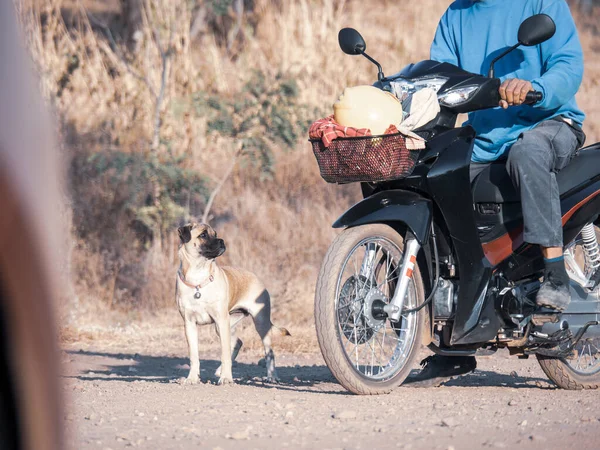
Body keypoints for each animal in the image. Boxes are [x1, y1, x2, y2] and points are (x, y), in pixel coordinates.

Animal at [175, 223, 290, 384]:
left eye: (215, 234)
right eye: (203, 235)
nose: (222, 241)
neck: (198, 278)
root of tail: (255, 277)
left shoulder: (221, 320)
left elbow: (224, 354)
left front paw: (226, 378)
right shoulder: (189, 323)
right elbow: (194, 355)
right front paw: (192, 378)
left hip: (259, 323)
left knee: (269, 352)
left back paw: (272, 376)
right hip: (225, 324)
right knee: (238, 342)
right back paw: (219, 370)